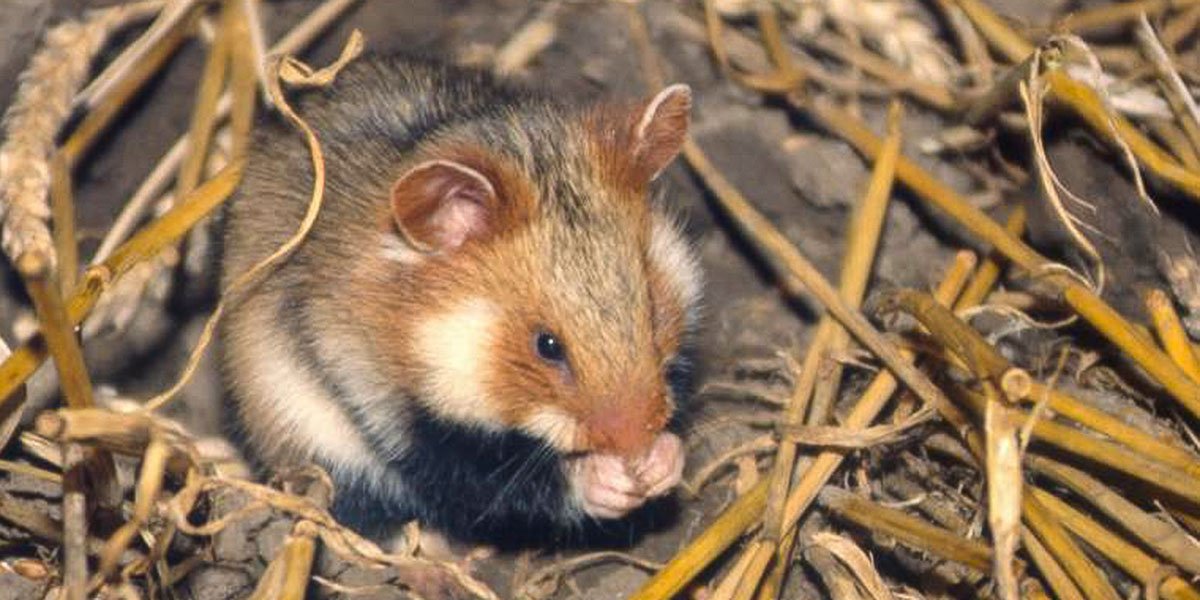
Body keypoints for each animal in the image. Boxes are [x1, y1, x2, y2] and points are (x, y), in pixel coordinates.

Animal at [218, 54, 702, 545]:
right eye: (546, 346)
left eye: (653, 310)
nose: (636, 446)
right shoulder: (393, 415)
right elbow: (500, 480)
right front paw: (610, 479)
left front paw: (662, 462)